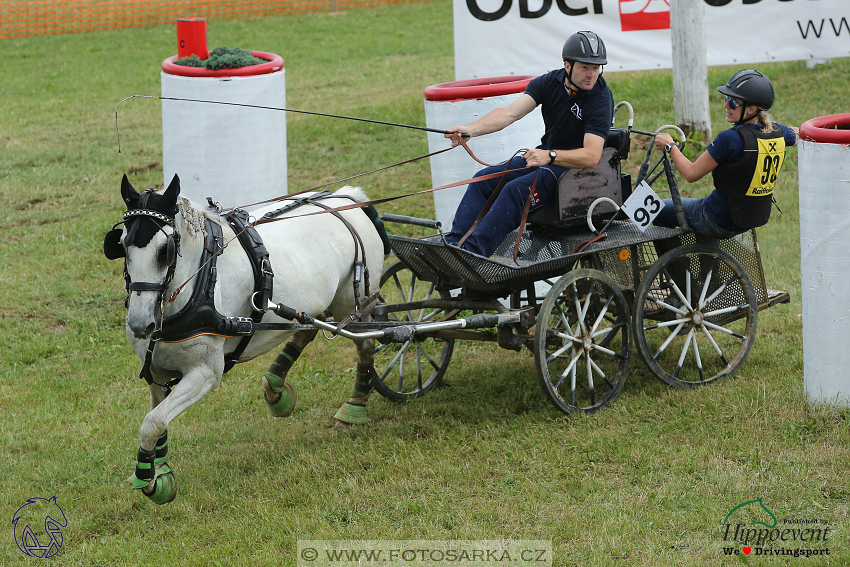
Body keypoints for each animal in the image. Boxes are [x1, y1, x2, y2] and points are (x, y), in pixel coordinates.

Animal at [103, 175, 384, 504]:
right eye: (121, 246)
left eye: (165, 251)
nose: (139, 324)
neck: (200, 281)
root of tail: (346, 198)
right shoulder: (157, 374)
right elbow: (157, 421)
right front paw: (160, 472)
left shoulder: (205, 374)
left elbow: (152, 422)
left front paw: (148, 479)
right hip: (309, 307)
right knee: (307, 328)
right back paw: (275, 388)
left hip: (354, 303)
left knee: (365, 343)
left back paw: (354, 407)